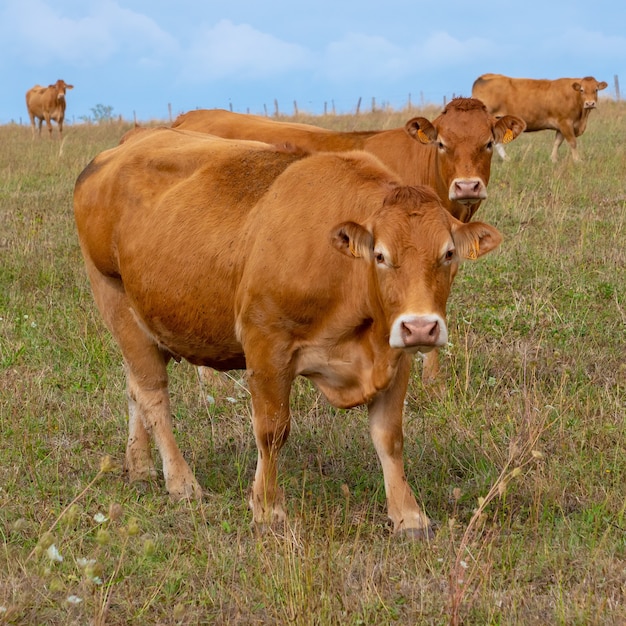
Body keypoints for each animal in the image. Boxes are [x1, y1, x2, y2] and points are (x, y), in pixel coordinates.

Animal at [74, 127, 502, 536]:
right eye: (381, 255)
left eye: (448, 253)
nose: (420, 327)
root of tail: (122, 147)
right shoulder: (266, 345)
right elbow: (272, 431)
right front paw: (267, 509)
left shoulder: (394, 355)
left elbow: (389, 437)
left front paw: (409, 515)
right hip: (116, 302)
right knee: (153, 396)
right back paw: (181, 482)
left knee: (135, 388)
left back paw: (140, 465)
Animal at [470, 73, 608, 162]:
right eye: (582, 90)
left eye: (596, 90)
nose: (590, 103)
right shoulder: (565, 122)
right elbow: (572, 142)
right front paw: (578, 160)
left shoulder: (561, 125)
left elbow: (557, 142)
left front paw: (553, 159)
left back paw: (507, 159)